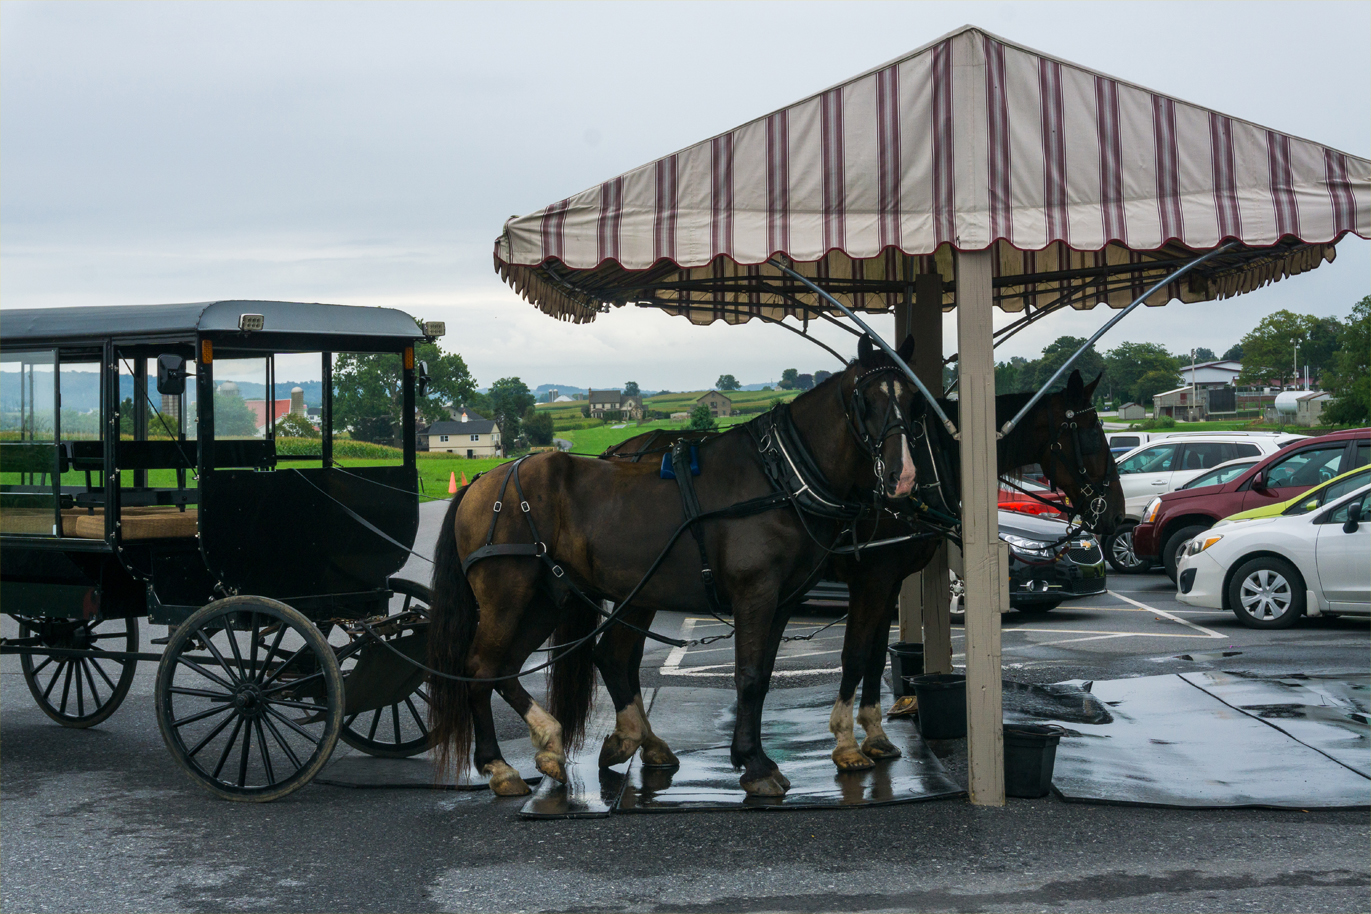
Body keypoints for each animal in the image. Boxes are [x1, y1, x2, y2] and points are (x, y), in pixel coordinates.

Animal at [427, 339, 921, 794]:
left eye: (913, 399)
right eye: (866, 399)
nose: (903, 478)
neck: (780, 476)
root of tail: (482, 482)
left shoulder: (782, 601)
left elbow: (763, 677)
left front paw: (758, 758)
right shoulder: (756, 594)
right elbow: (749, 676)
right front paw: (754, 765)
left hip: (548, 600)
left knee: (507, 667)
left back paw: (552, 744)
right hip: (508, 597)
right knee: (480, 668)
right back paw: (499, 766)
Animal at [605, 367, 1118, 778]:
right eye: (1091, 432)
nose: (1112, 513)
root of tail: (619, 450)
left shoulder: (888, 582)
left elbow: (873, 656)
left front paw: (874, 734)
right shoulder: (872, 579)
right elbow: (853, 655)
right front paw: (847, 744)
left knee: (622, 656)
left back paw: (642, 742)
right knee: (617, 654)